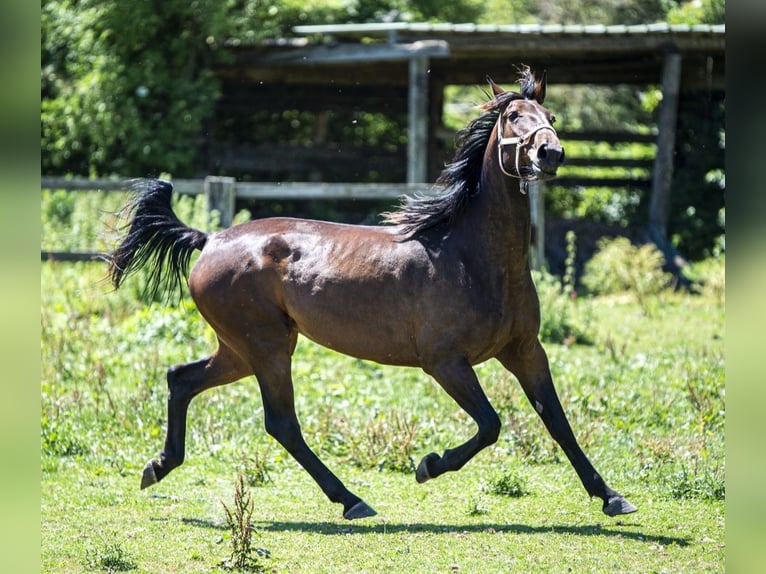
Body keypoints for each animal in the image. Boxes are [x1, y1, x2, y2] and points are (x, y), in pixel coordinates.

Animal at [108, 67, 636, 520]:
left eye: (552, 118)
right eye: (512, 117)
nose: (550, 154)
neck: (473, 257)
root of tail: (209, 238)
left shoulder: (525, 350)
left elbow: (557, 421)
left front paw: (611, 496)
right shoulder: (445, 362)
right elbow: (490, 425)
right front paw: (428, 465)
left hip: (242, 349)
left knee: (182, 379)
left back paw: (158, 466)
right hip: (266, 347)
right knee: (282, 423)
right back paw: (351, 500)